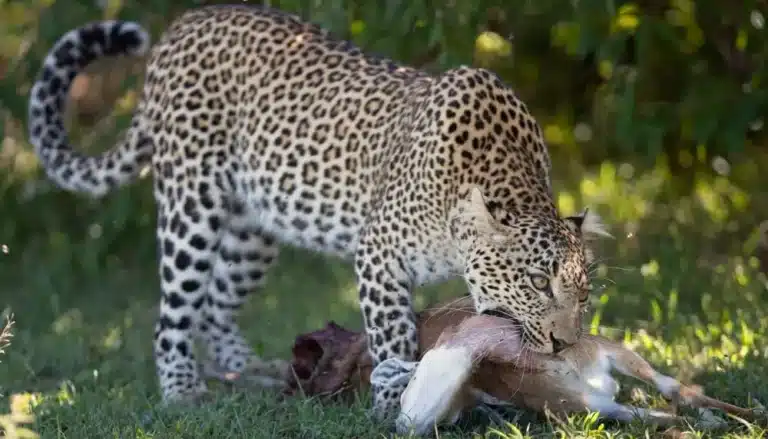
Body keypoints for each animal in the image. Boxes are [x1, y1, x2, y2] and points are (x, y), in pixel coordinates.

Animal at [26, 4, 611, 419]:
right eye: (537, 282)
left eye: (583, 295)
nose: (565, 344)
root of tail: (183, 25)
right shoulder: (379, 254)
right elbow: (393, 335)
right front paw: (393, 401)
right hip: (193, 203)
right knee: (174, 309)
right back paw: (183, 391)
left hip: (254, 228)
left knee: (215, 303)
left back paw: (254, 372)